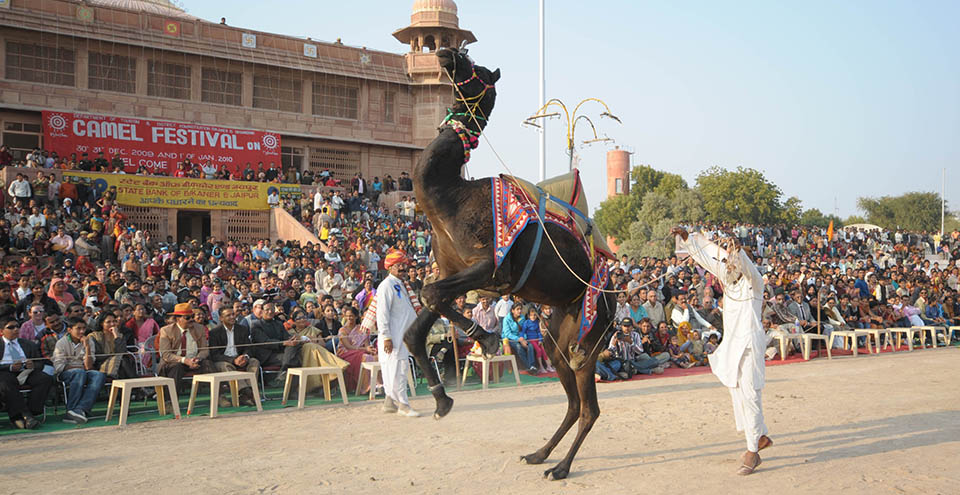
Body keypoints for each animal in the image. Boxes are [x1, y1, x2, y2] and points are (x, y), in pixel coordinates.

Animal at [403, 47, 615, 480]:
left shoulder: (491, 266)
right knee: (571, 399)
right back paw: (539, 454)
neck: (449, 196)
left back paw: (561, 468)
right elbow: (421, 317)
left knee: (588, 406)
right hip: (560, 331)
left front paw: (483, 338)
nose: (447, 53)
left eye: (479, 69)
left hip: (592, 330)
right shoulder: (455, 272)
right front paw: (442, 399)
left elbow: (430, 293)